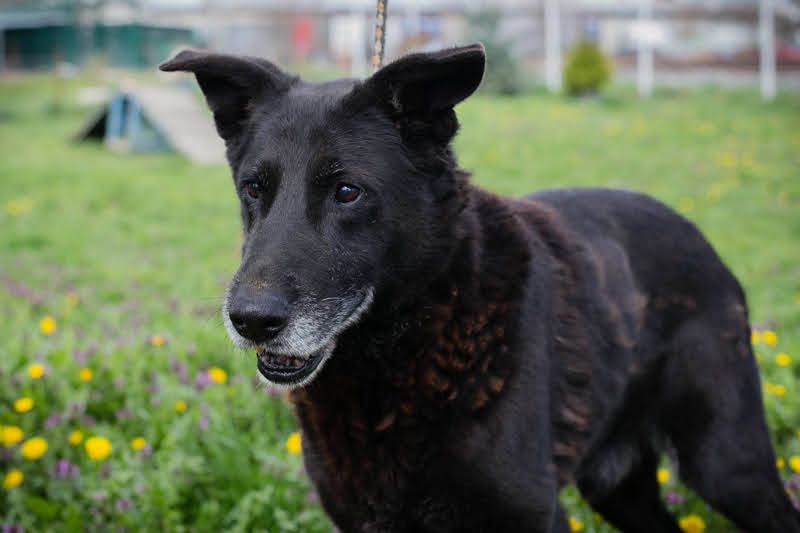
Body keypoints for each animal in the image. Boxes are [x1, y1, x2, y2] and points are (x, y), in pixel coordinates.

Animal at [160, 44, 800, 532]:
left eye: (347, 191)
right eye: (253, 188)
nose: (250, 320)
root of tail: (698, 235)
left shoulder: (532, 515)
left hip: (727, 462)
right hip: (619, 485)